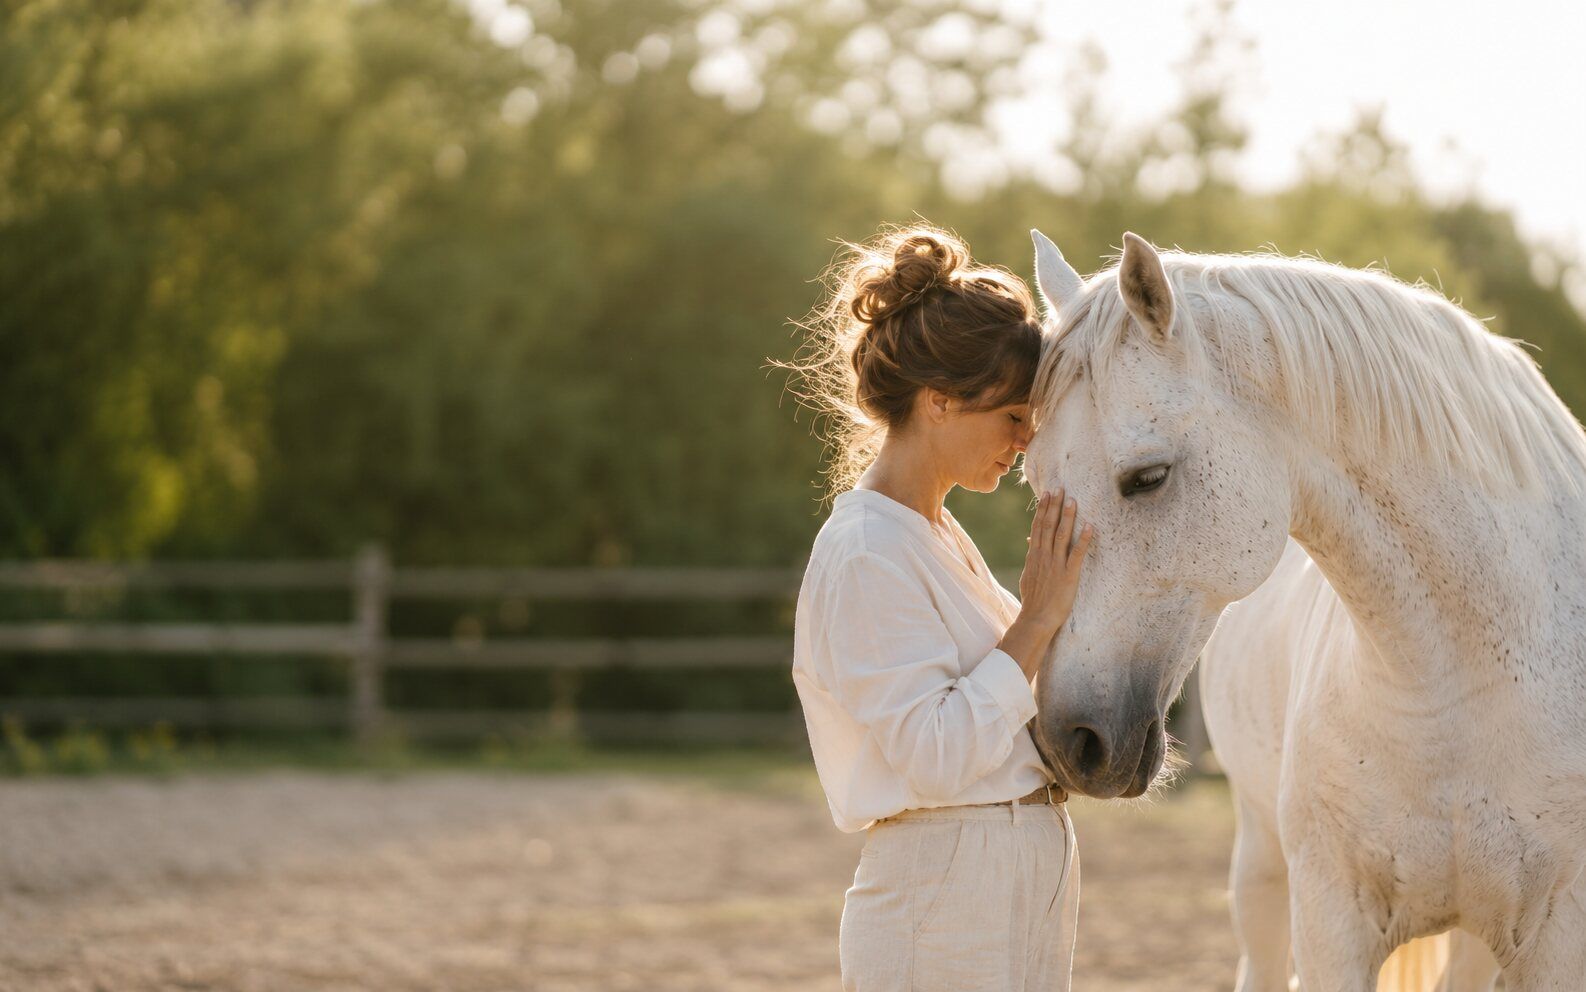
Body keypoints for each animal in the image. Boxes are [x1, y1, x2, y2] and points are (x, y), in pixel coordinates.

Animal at [1020, 229, 1586, 992]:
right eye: (1034, 479)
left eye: (1147, 478)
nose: (1069, 740)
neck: (1458, 691)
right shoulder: (1329, 920)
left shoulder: (1559, 934)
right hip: (1261, 868)